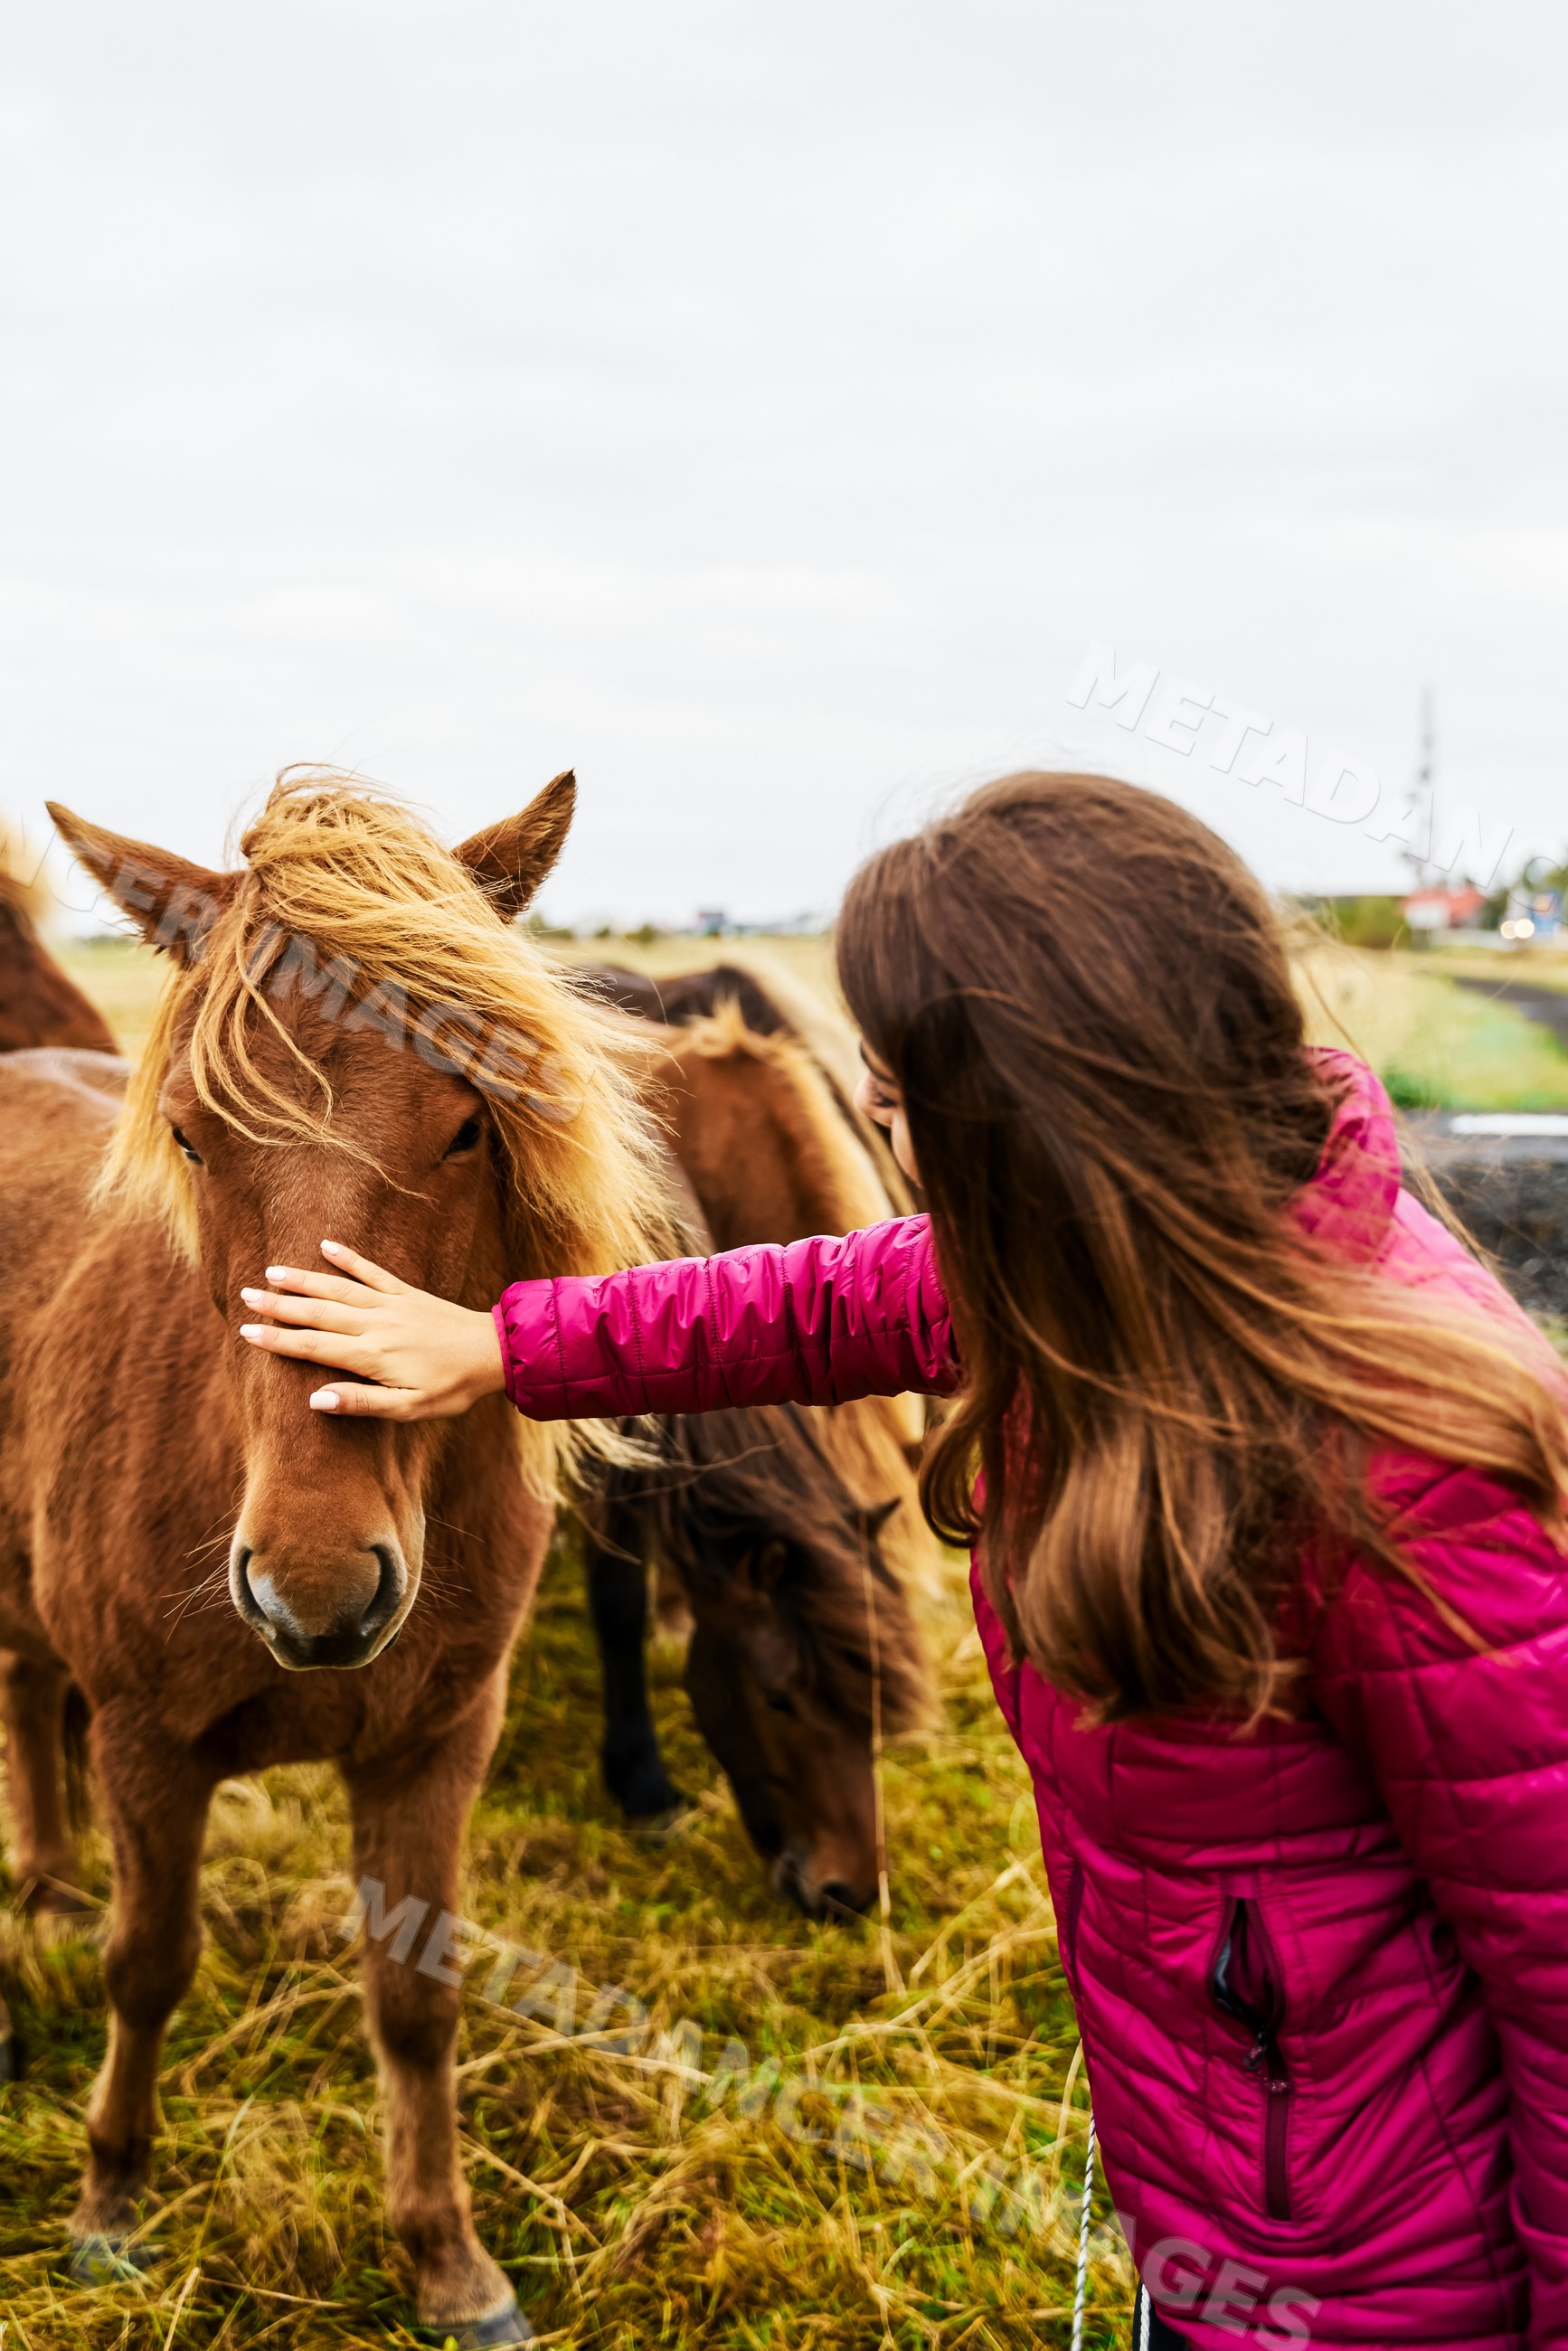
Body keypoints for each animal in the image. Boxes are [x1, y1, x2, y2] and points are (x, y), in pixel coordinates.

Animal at [0, 767, 672, 2347]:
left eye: (468, 1122)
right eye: (192, 1134)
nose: (312, 1590)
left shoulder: (434, 1746)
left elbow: (413, 2001)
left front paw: (448, 2261)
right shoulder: (147, 1745)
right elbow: (148, 1966)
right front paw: (110, 2204)